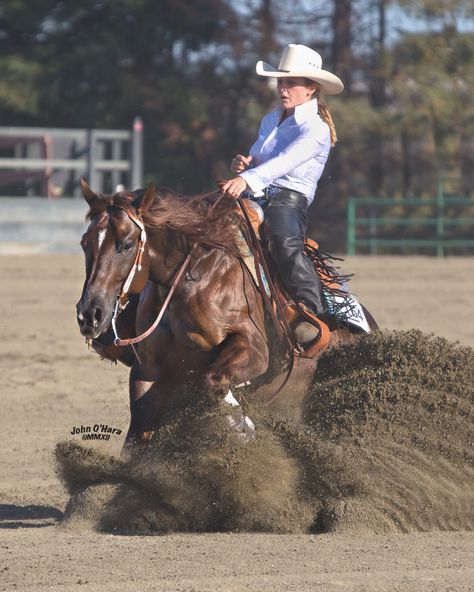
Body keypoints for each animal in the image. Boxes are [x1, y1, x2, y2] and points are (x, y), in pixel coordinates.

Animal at [76, 180, 374, 448]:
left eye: (126, 245)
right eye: (84, 243)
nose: (90, 314)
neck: (192, 277)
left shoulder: (254, 349)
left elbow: (214, 380)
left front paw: (245, 430)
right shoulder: (148, 369)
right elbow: (137, 433)